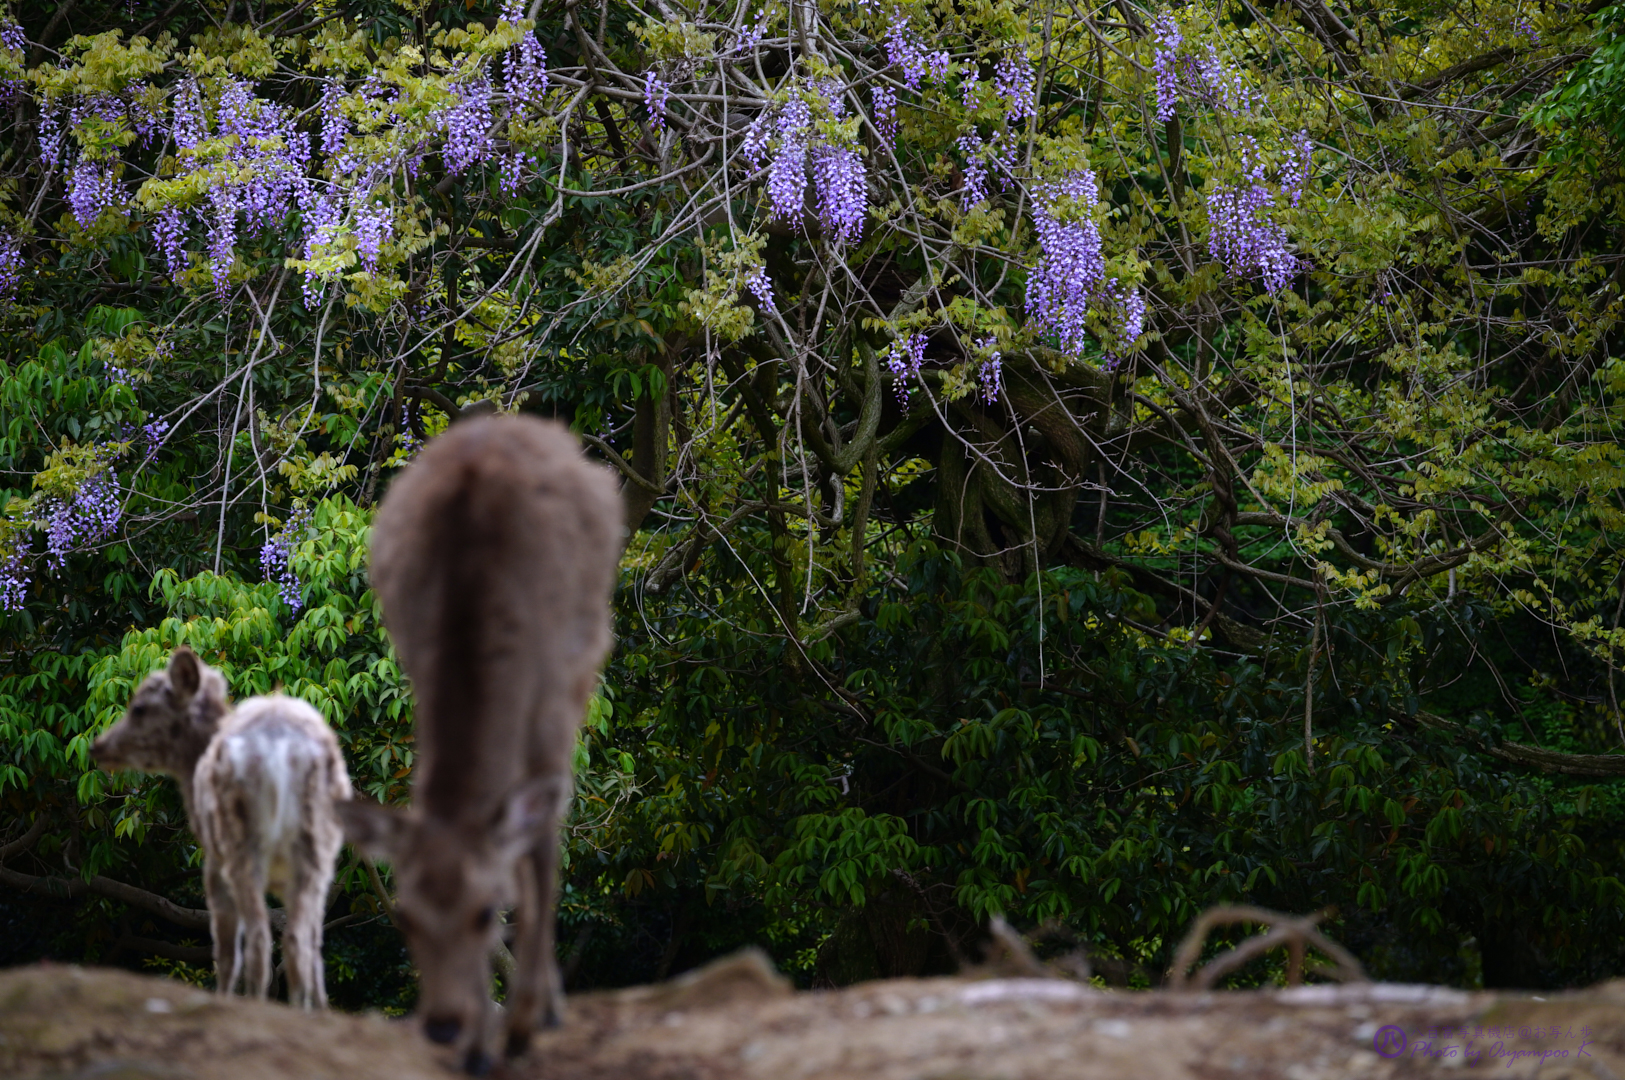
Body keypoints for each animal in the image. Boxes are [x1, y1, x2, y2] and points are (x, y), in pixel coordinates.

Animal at [92, 643, 352, 1006]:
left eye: (139, 707)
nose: (97, 746)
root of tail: (284, 749)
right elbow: (315, 955)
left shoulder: (213, 864)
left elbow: (225, 952)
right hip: (317, 853)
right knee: (300, 943)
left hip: (240, 845)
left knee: (258, 941)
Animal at [336, 412, 620, 1071]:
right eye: (404, 917)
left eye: (485, 912)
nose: (442, 1025)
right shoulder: (415, 663)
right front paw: (481, 1042)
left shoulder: (553, 699)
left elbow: (542, 844)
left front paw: (522, 1023)